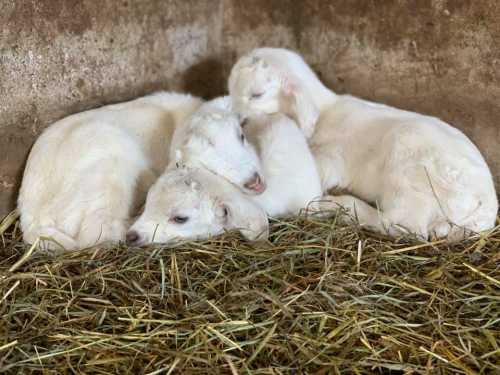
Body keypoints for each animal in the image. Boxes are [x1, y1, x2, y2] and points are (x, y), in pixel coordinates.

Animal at [229, 47, 498, 241]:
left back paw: (339, 205)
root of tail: (485, 207)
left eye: (257, 94)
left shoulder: (330, 159)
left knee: (403, 225)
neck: (324, 113)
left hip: (409, 169)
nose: (238, 119)